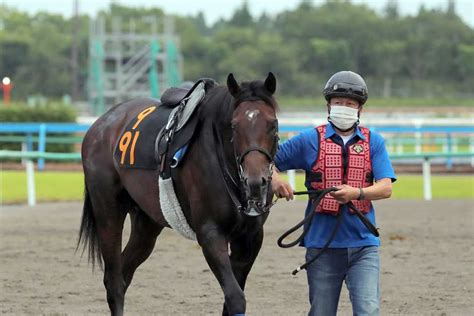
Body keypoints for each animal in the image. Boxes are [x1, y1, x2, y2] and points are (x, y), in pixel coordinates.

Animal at [77, 73, 278, 314]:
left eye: (273, 124)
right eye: (234, 125)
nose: (256, 182)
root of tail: (100, 124)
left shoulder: (250, 238)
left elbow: (231, 299)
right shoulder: (210, 234)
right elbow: (235, 297)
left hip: (146, 223)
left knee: (124, 274)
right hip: (108, 213)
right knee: (114, 281)